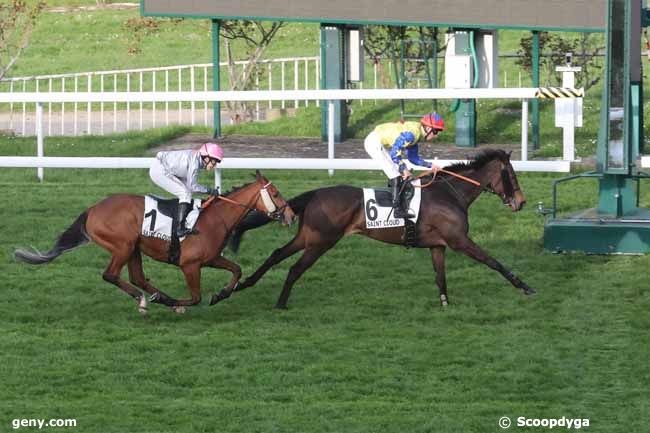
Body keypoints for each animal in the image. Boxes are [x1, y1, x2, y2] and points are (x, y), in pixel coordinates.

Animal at [14, 170, 294, 314]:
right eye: (276, 193)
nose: (291, 215)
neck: (215, 218)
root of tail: (92, 209)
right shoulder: (190, 265)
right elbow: (196, 297)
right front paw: (178, 304)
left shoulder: (212, 258)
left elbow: (236, 269)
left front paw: (222, 293)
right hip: (123, 245)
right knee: (111, 275)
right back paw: (149, 299)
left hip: (134, 248)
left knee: (137, 277)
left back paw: (154, 296)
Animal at [220, 148, 536, 308]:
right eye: (511, 175)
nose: (521, 201)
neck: (449, 194)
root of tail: (317, 193)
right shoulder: (460, 240)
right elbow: (493, 262)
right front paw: (525, 286)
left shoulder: (438, 245)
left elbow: (440, 276)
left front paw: (446, 303)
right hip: (322, 241)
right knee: (296, 268)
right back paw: (280, 303)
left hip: (308, 236)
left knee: (276, 254)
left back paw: (239, 287)